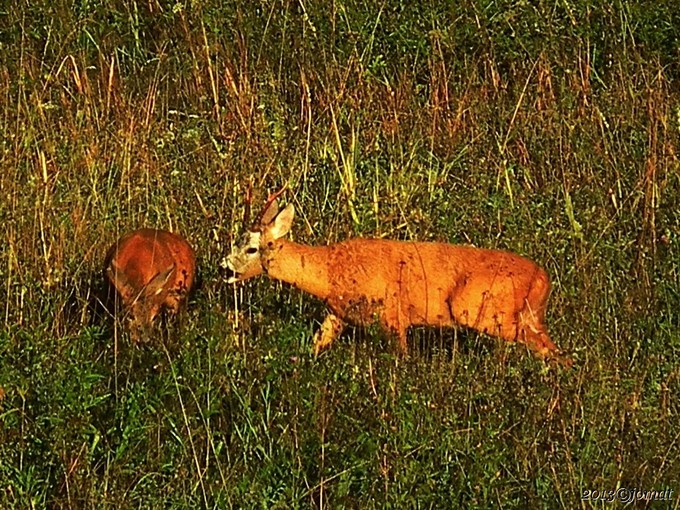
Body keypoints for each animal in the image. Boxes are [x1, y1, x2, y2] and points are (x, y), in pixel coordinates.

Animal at [227, 195, 568, 366]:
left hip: (488, 313)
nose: (223, 267)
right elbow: (316, 344)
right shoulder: (336, 314)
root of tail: (543, 278)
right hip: (525, 316)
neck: (330, 272)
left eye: (251, 247)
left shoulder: (393, 315)